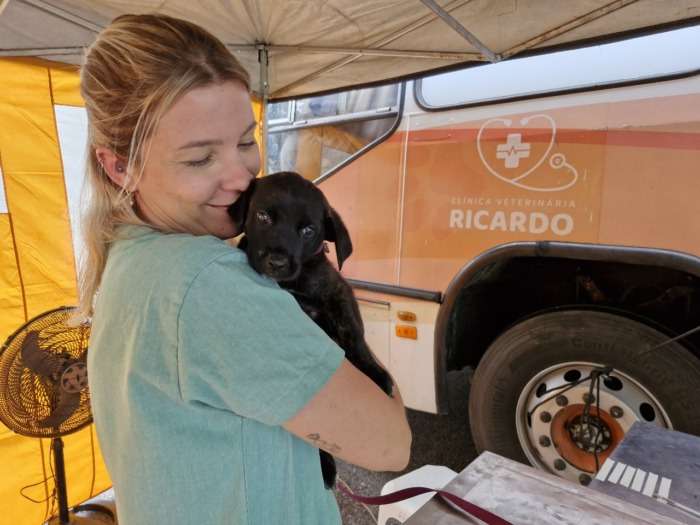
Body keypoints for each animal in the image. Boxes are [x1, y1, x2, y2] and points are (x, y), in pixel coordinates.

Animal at [230, 171, 394, 488]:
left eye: (308, 230)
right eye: (263, 216)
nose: (277, 262)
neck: (296, 283)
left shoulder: (337, 291)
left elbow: (353, 332)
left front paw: (378, 375)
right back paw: (326, 468)